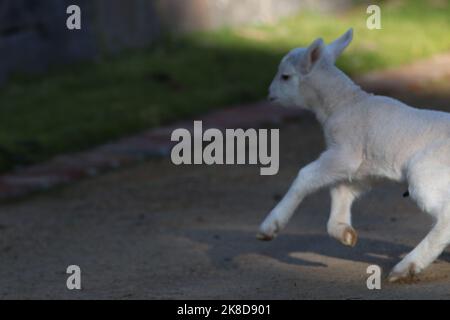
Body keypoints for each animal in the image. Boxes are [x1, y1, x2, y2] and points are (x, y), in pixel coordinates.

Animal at [256, 28, 450, 282]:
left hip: (426, 173)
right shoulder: (361, 170)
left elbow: (306, 176)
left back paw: (406, 266)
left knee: (446, 220)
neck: (344, 102)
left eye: (285, 76)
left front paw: (270, 226)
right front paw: (343, 233)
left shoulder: (345, 153)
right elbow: (341, 192)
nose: (269, 95)